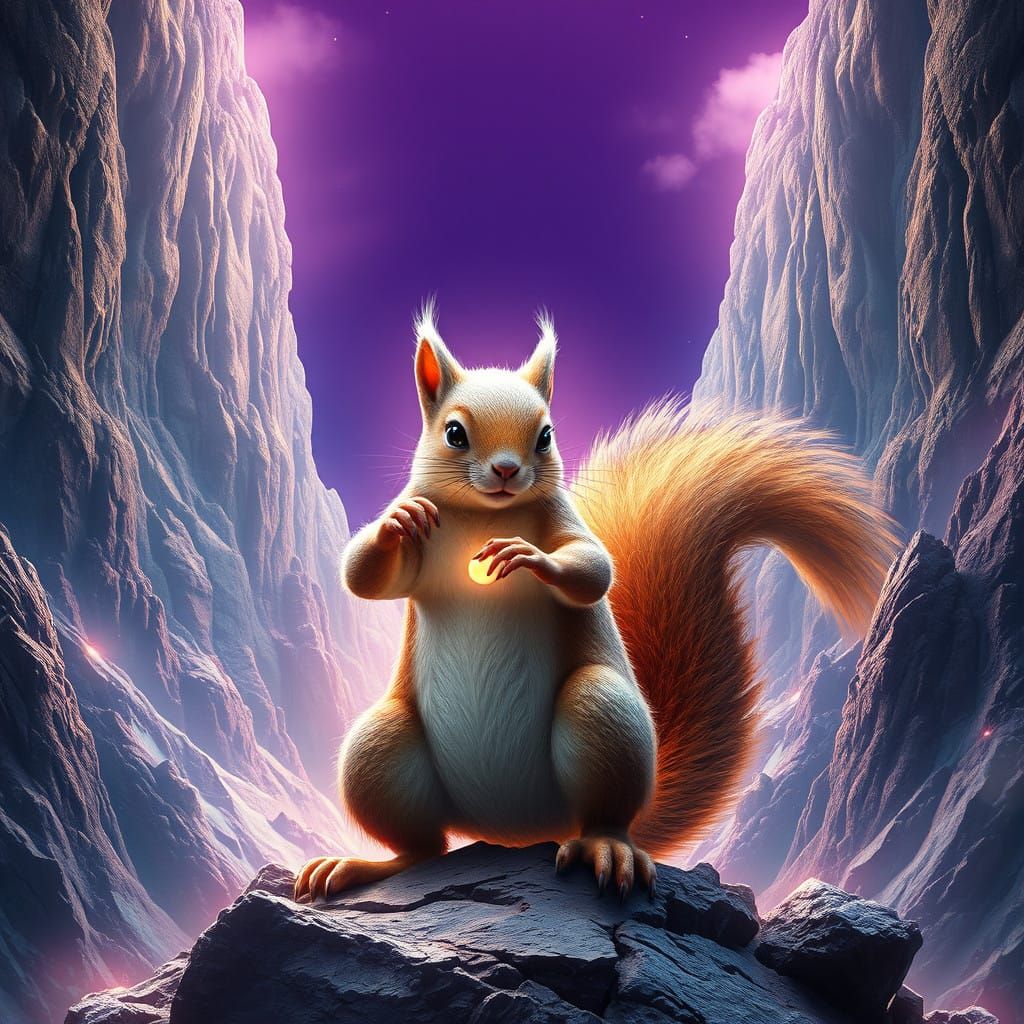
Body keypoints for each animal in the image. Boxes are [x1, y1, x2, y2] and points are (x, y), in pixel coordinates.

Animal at [294, 304, 899, 903]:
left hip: (603, 716)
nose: (507, 470)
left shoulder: (563, 520)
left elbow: (593, 567)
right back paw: (359, 867)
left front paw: (529, 556)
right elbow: (365, 577)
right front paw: (395, 523)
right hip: (378, 751)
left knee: (599, 815)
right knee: (424, 849)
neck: (486, 515)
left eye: (546, 436)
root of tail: (517, 831)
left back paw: (607, 849)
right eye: (454, 433)